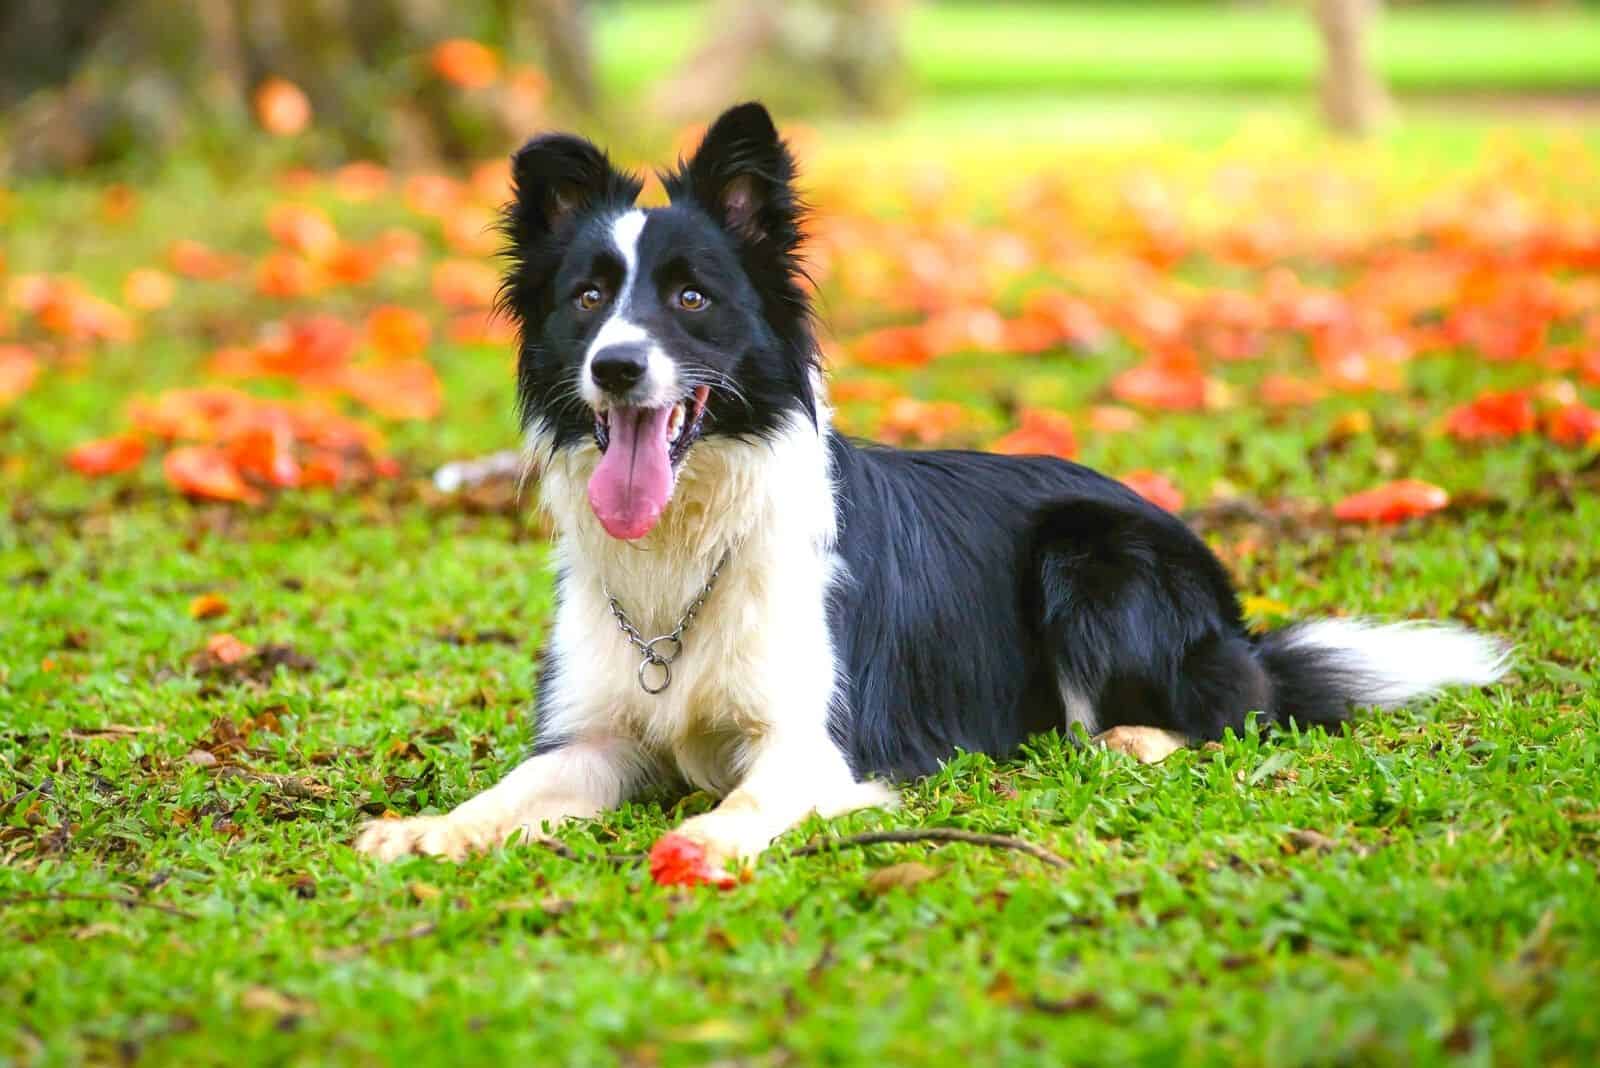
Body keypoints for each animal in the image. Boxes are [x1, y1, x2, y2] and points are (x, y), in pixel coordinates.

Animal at [353, 103, 1510, 882]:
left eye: (690, 298)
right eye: (589, 298)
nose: (617, 369)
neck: (691, 542)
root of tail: (1232, 611)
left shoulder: (817, 742)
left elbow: (758, 792)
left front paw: (709, 836)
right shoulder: (594, 737)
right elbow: (514, 787)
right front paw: (431, 828)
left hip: (1090, 555)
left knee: (1235, 709)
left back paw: (1130, 739)